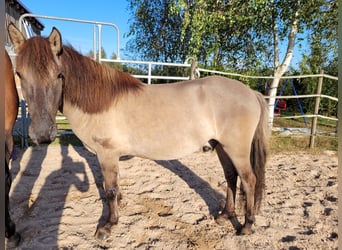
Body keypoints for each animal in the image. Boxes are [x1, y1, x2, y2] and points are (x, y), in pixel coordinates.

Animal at [8, 23, 268, 244]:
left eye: (59, 75)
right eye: (19, 74)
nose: (42, 134)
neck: (99, 102)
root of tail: (251, 92)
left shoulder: (107, 154)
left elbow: (110, 189)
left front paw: (108, 225)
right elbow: (112, 187)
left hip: (236, 149)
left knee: (249, 180)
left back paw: (247, 226)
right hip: (221, 146)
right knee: (231, 177)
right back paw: (225, 215)